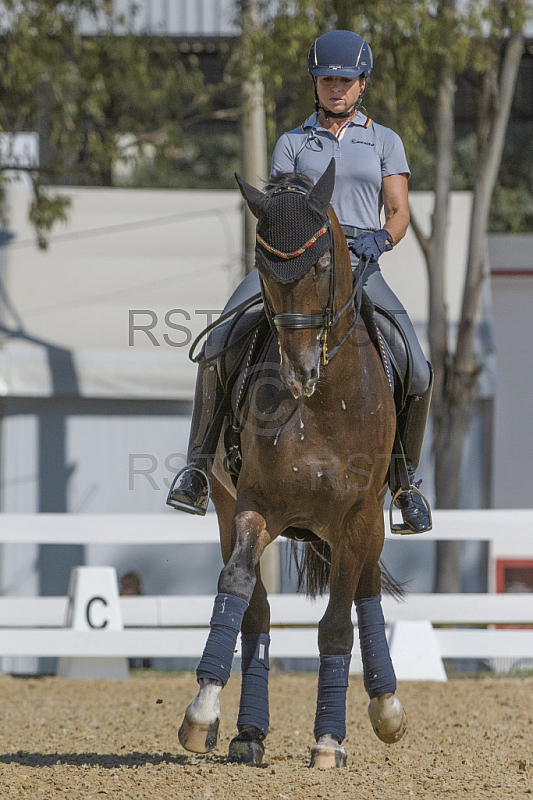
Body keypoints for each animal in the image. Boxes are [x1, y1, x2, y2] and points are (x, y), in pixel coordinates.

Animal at [177, 159, 406, 764]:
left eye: (323, 262)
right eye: (262, 267)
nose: (299, 371)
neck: (324, 404)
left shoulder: (355, 519)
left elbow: (336, 626)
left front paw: (328, 740)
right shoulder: (253, 504)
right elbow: (237, 589)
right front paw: (201, 713)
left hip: (371, 523)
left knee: (366, 591)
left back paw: (386, 709)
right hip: (226, 507)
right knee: (256, 609)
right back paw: (248, 732)